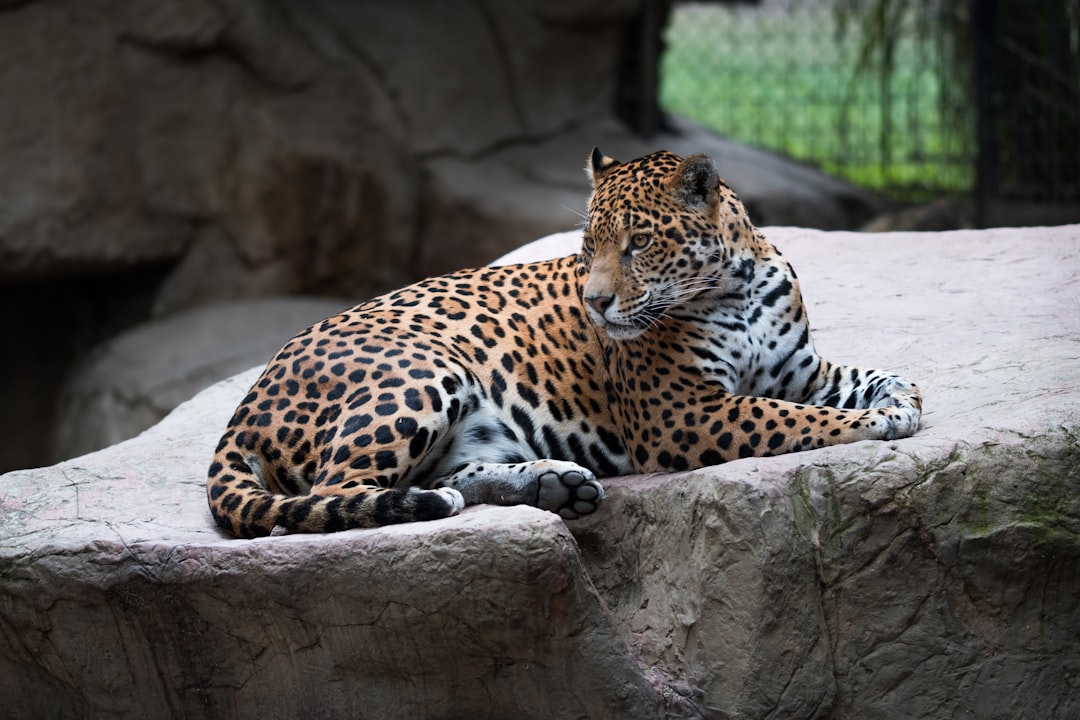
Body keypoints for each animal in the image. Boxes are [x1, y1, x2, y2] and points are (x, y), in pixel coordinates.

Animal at [207, 148, 922, 538]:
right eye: (588, 247)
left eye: (638, 243)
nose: (596, 304)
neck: (734, 287)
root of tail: (245, 405)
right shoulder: (683, 412)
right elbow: (786, 418)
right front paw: (869, 425)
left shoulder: (799, 369)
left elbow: (872, 378)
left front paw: (900, 402)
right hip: (421, 372)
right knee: (329, 493)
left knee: (446, 477)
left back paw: (555, 484)